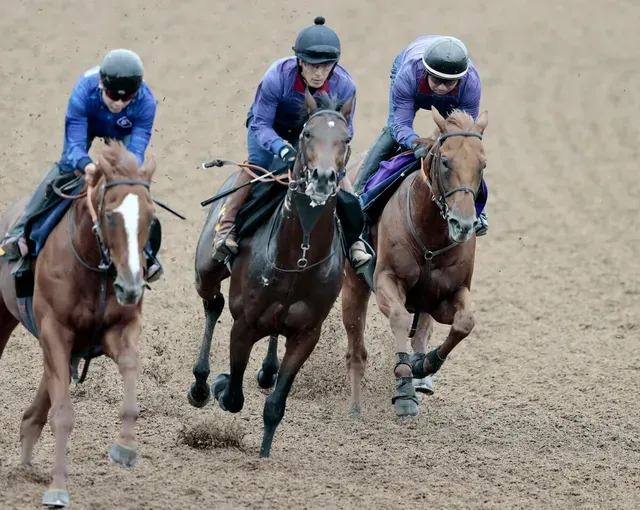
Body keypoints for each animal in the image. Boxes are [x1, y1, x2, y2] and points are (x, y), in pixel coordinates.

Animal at [0, 141, 159, 508]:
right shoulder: (54, 331)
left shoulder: (117, 329)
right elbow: (63, 414)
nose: (132, 285)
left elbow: (132, 364)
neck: (93, 266)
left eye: (150, 215)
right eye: (111, 214)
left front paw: (125, 448)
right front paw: (57, 488)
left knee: (40, 403)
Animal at [189, 90, 356, 458]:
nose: (323, 177)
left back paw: (267, 370)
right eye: (307, 134)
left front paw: (264, 456)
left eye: (346, 138)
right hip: (205, 270)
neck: (298, 259)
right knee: (212, 303)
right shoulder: (244, 324)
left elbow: (276, 406)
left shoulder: (307, 333)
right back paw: (201, 384)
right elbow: (233, 396)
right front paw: (220, 384)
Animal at [342, 106, 488, 418]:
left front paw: (425, 365)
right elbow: (399, 318)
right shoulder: (386, 279)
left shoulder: (446, 295)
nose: (463, 224)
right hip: (353, 284)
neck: (430, 237)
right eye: (445, 161)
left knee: (421, 331)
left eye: (482, 165)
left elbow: (464, 322)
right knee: (356, 350)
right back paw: (356, 407)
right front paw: (404, 382)